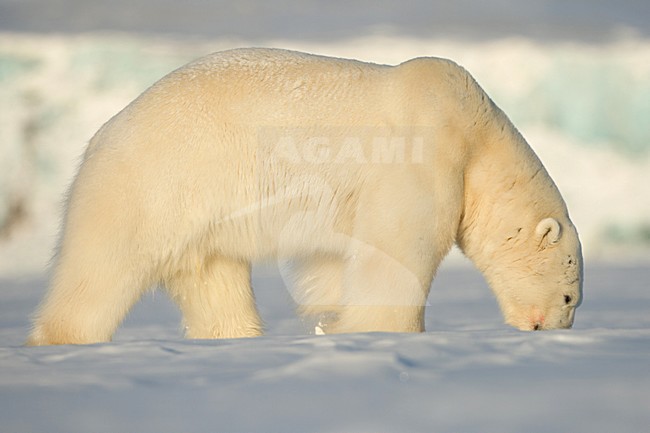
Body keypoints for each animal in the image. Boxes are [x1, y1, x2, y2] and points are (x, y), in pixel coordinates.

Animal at [27, 48, 583, 345]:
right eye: (569, 297)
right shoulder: (424, 157)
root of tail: (102, 135)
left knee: (213, 278)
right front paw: (381, 331)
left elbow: (335, 259)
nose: (549, 329)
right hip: (151, 184)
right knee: (100, 270)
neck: (476, 137)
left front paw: (331, 323)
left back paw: (237, 337)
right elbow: (397, 249)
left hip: (199, 216)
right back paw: (64, 339)